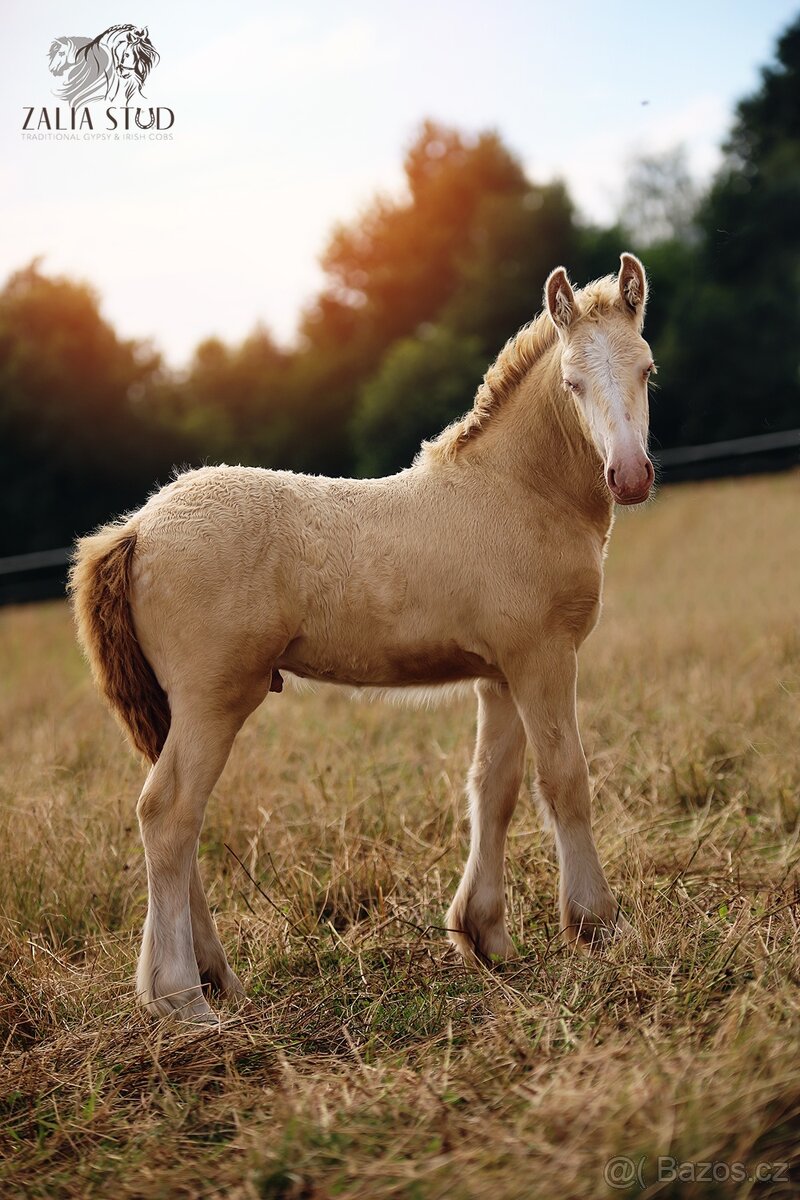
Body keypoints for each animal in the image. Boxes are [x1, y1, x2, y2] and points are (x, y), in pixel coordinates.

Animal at [71, 255, 652, 1022]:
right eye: (572, 383)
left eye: (647, 369)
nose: (631, 475)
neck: (517, 492)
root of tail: (136, 528)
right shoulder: (543, 659)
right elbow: (566, 780)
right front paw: (596, 924)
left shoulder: (500, 674)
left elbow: (492, 788)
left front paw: (486, 936)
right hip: (213, 699)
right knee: (167, 814)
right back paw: (182, 999)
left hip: (175, 708)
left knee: (178, 822)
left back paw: (217, 978)